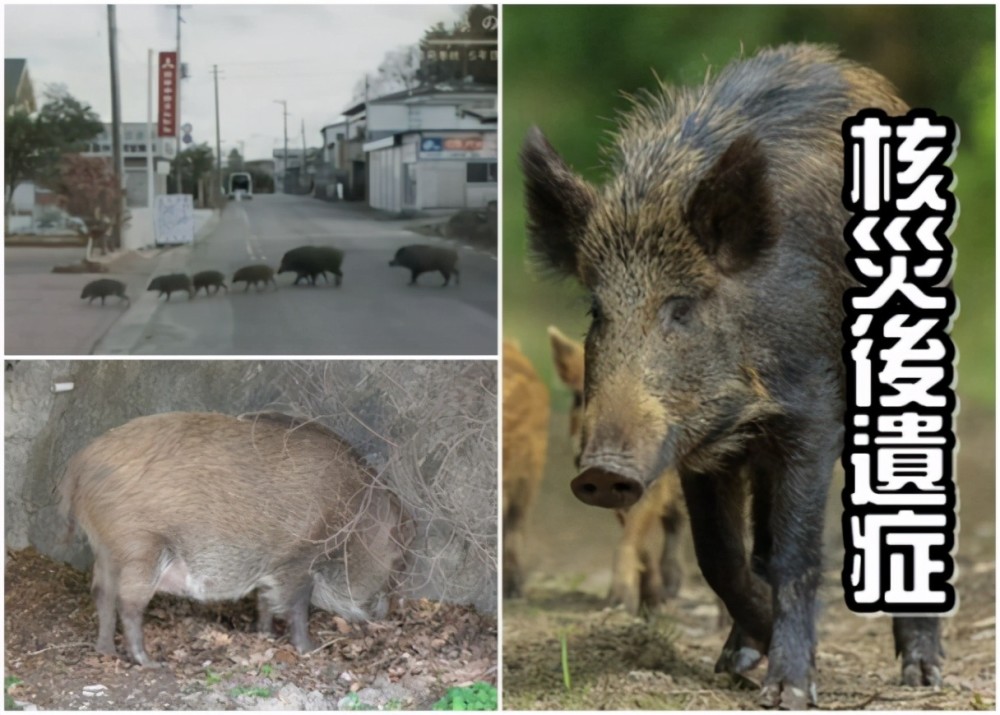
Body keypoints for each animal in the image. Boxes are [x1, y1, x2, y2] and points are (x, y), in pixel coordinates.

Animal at [58, 412, 412, 668]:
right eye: (400, 560)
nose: (387, 612)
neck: (352, 517)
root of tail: (78, 466)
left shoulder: (272, 568)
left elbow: (266, 601)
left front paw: (266, 636)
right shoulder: (299, 559)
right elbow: (295, 606)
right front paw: (309, 650)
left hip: (107, 552)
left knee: (101, 594)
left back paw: (107, 651)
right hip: (141, 548)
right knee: (126, 603)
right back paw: (150, 662)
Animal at [524, 44, 944, 712]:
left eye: (682, 307)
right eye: (596, 310)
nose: (602, 472)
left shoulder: (811, 418)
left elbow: (799, 553)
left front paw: (792, 689)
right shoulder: (701, 444)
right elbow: (720, 554)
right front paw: (739, 666)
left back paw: (923, 675)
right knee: (757, 545)